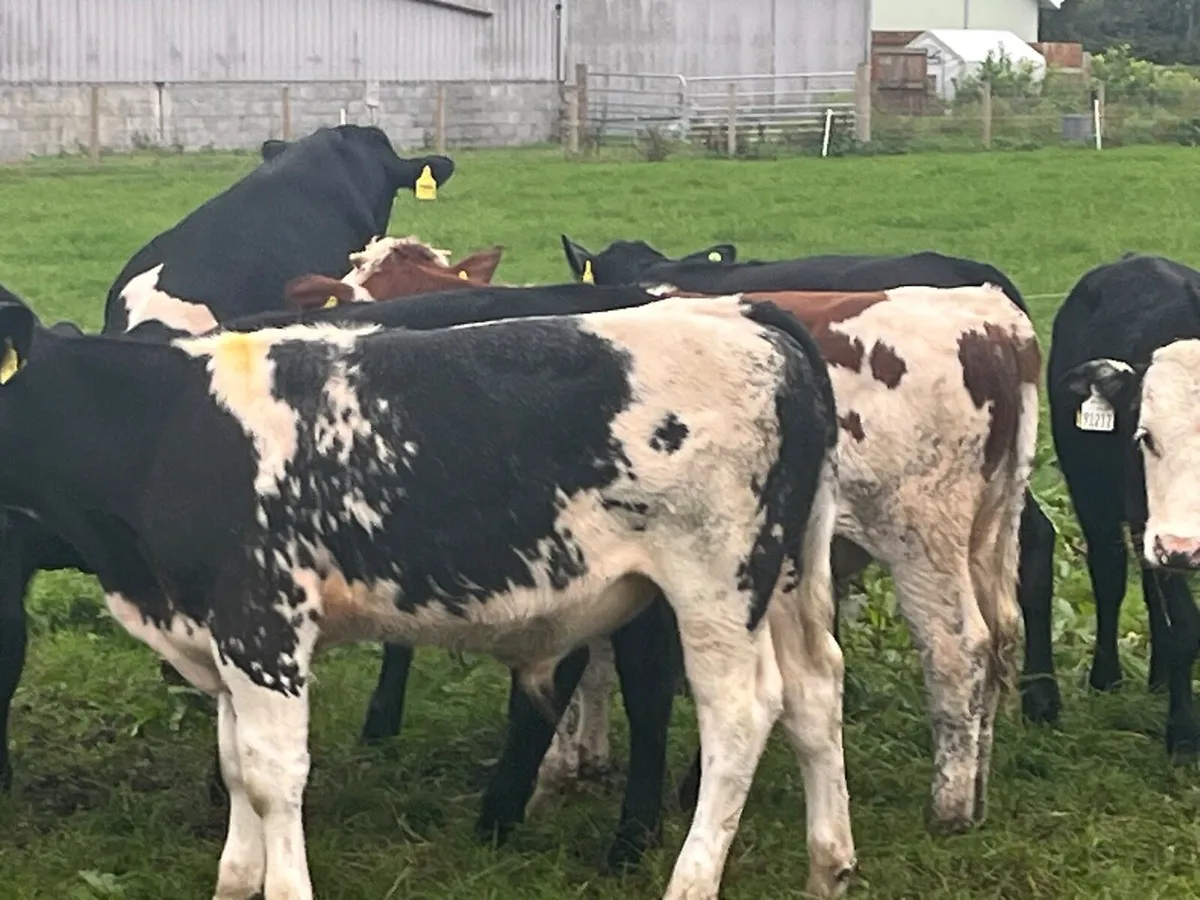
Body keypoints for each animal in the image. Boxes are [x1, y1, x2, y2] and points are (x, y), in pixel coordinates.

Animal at [0, 287, 855, 900]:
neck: (164, 430)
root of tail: (744, 314)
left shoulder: (264, 623)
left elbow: (273, 776)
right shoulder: (219, 632)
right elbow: (237, 765)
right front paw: (234, 883)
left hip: (717, 587)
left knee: (740, 715)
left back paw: (691, 881)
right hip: (789, 576)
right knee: (817, 689)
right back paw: (828, 865)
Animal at [1051, 253, 1200, 758]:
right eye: (1145, 437)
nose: (1183, 547)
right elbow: (1186, 627)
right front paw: (1182, 736)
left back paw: (1158, 680)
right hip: (1098, 497)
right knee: (1111, 574)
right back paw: (1107, 677)